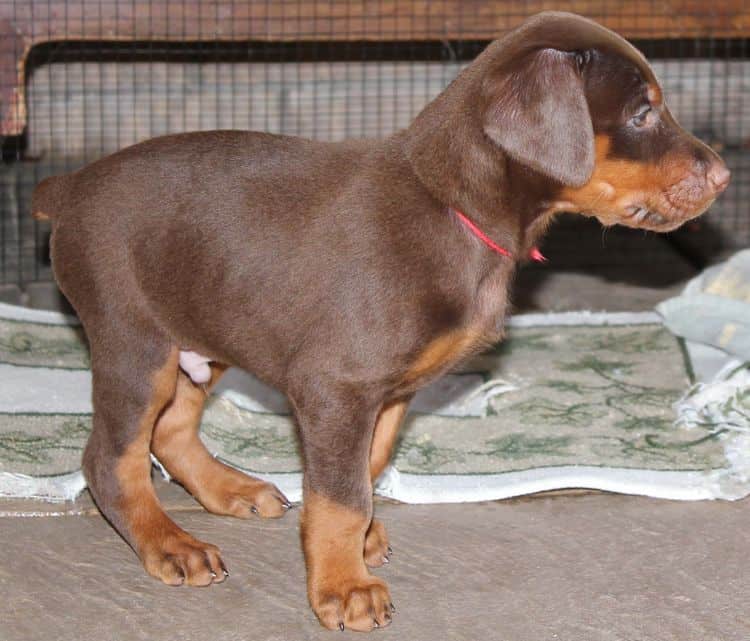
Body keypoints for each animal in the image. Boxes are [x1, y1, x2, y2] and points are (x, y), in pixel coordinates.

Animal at [32, 10, 732, 632]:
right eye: (642, 114)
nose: (725, 176)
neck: (453, 208)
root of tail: (71, 186)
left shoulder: (390, 393)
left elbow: (365, 471)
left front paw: (356, 546)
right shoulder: (336, 389)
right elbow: (341, 495)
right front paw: (343, 587)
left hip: (203, 329)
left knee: (172, 430)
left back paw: (230, 490)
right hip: (134, 341)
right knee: (111, 458)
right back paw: (167, 543)